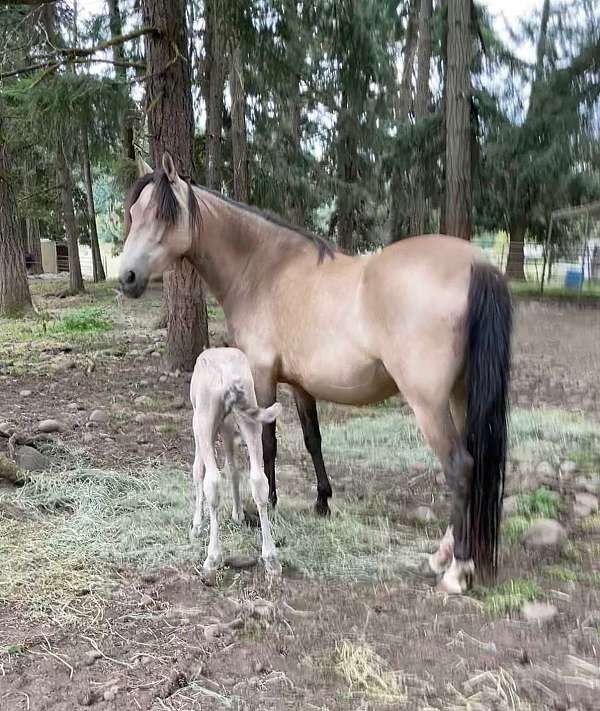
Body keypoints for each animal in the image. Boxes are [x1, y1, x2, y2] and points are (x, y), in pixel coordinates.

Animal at [189, 348, 282, 576]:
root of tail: (229, 379)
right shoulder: (228, 425)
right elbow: (233, 468)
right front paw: (238, 514)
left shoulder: (200, 424)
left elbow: (198, 470)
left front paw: (196, 526)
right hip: (250, 417)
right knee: (258, 480)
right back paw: (271, 559)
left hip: (204, 419)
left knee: (212, 481)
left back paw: (212, 558)